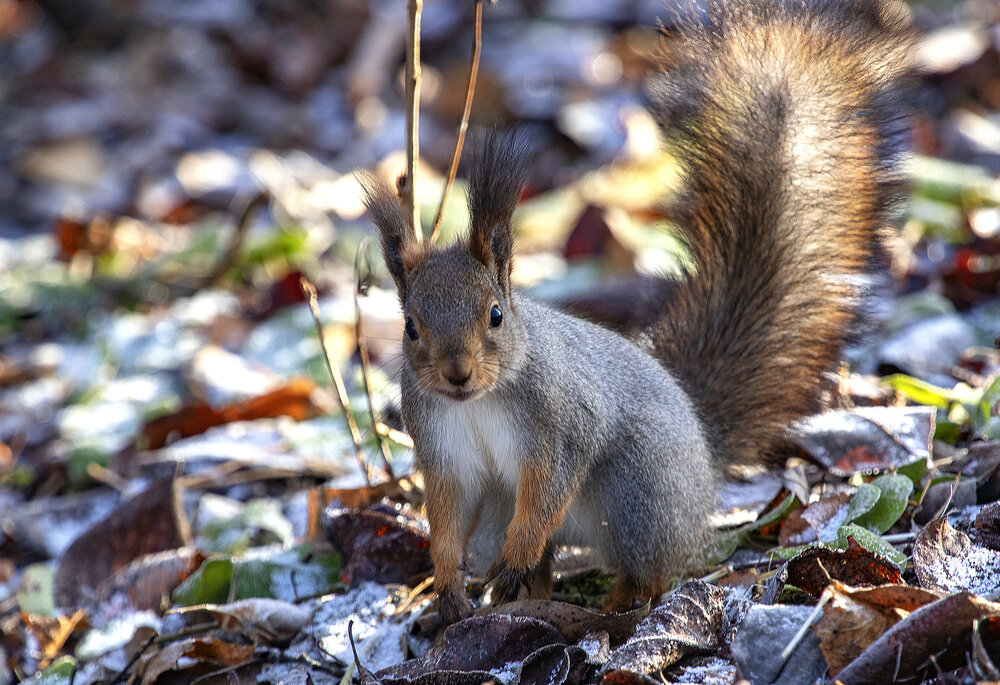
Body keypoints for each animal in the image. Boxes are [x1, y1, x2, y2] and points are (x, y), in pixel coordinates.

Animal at [360, 0, 912, 623]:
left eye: (496, 315)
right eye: (410, 327)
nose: (456, 375)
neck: (479, 401)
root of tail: (704, 459)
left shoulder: (564, 425)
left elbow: (547, 492)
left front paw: (509, 560)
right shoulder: (443, 454)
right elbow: (447, 519)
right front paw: (448, 588)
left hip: (638, 493)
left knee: (646, 566)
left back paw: (613, 599)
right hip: (504, 509)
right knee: (540, 557)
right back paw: (525, 596)